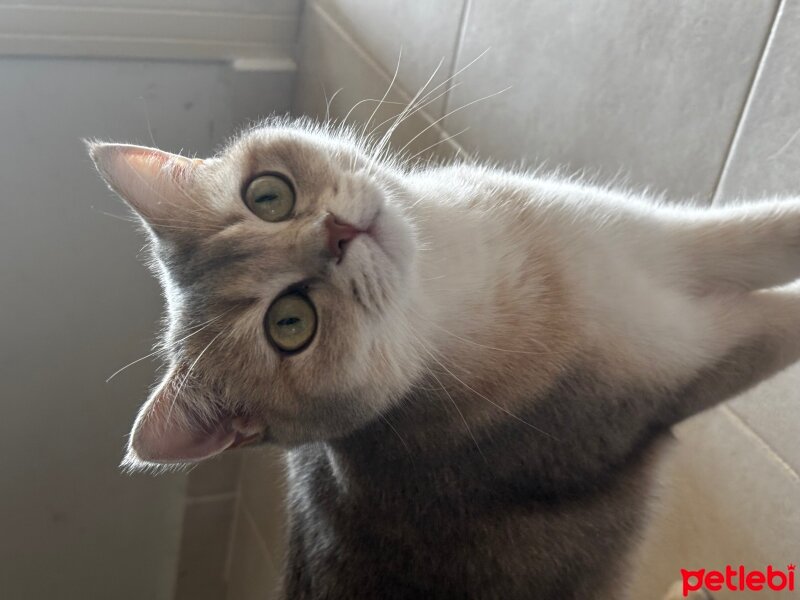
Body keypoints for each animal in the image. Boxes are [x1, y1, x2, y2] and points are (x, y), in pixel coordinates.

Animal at [87, 115, 800, 596]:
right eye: (290, 324)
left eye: (268, 196)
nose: (338, 235)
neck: (454, 279)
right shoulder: (675, 374)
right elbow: (775, 322)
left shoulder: (645, 242)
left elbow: (756, 233)